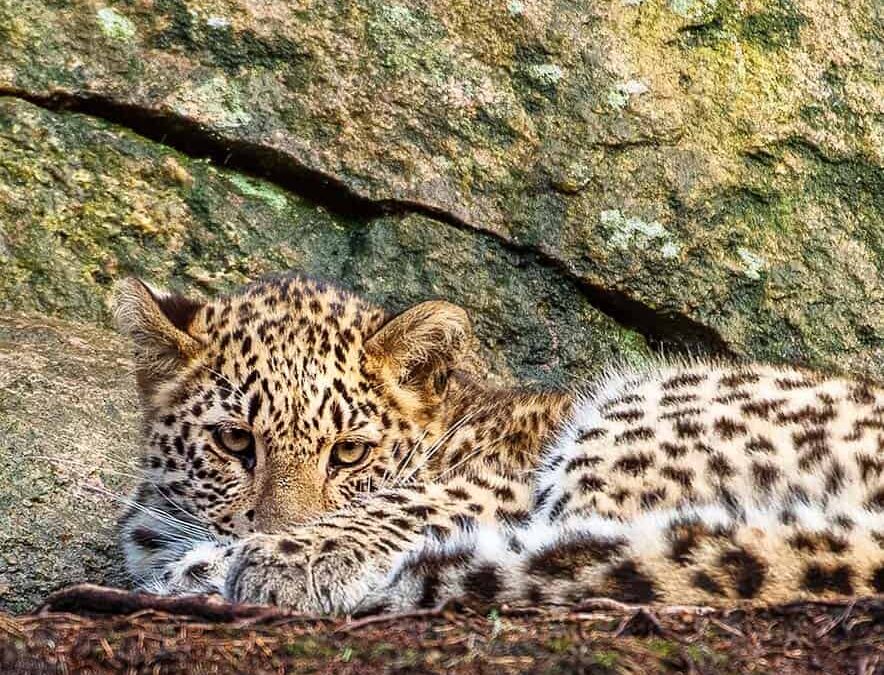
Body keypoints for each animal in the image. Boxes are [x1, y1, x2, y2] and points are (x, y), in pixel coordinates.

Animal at [114, 274, 884, 615]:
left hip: (625, 428)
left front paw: (272, 559)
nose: (274, 528)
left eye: (350, 453)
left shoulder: (502, 479)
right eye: (234, 441)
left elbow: (399, 505)